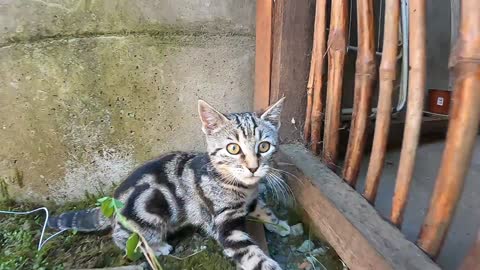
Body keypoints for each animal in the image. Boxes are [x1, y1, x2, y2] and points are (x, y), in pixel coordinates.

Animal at [48, 98, 286, 270]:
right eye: (233, 149)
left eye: (264, 146)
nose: (253, 167)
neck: (241, 187)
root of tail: (113, 203)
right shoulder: (223, 220)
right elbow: (249, 253)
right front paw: (269, 265)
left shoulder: (250, 200)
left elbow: (263, 208)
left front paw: (280, 224)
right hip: (149, 218)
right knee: (122, 238)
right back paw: (157, 247)